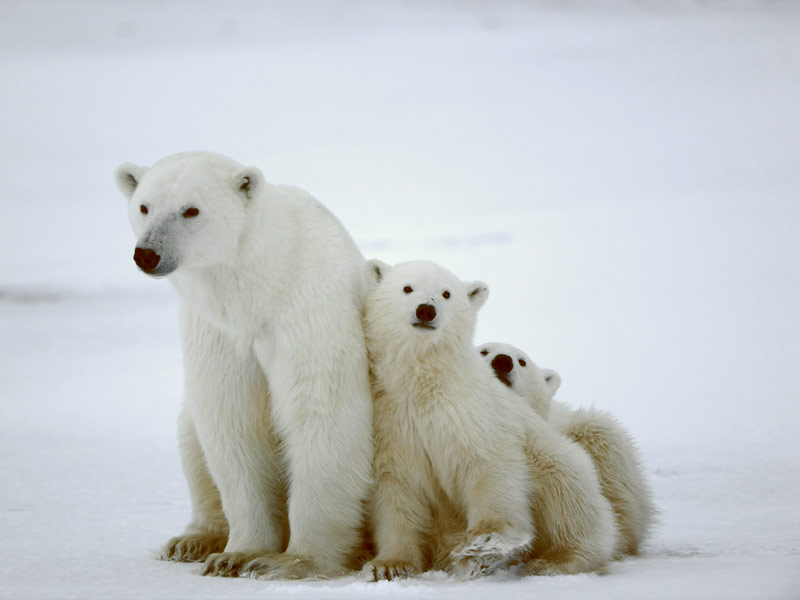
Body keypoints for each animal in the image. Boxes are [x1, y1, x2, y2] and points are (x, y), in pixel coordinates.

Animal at [114, 152, 374, 580]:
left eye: (191, 209)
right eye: (144, 206)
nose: (147, 254)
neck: (258, 287)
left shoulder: (308, 311)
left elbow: (321, 413)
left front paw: (291, 561)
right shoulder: (218, 331)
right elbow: (232, 421)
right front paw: (237, 555)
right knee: (191, 439)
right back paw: (192, 540)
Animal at [362, 260, 620, 580]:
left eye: (446, 293)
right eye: (407, 288)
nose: (426, 310)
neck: (425, 384)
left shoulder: (474, 412)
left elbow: (491, 466)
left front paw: (482, 546)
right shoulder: (394, 422)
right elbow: (396, 489)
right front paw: (389, 565)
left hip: (556, 459)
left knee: (568, 497)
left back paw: (555, 560)